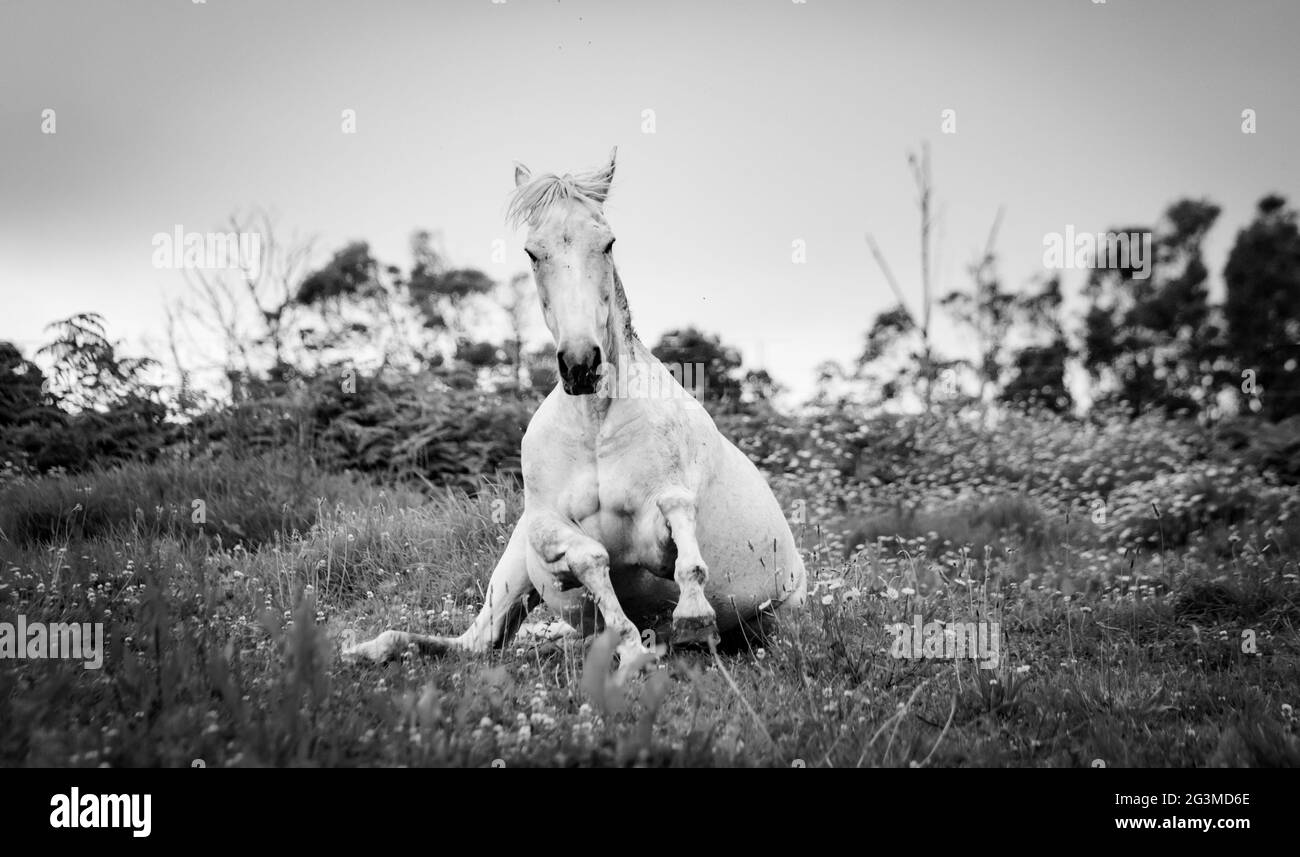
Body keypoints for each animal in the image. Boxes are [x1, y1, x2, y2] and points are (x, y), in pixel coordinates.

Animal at [343, 148, 807, 669]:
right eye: (532, 252)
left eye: (607, 243)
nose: (581, 363)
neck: (596, 423)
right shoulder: (544, 523)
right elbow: (590, 558)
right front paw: (630, 645)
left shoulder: (661, 521)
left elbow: (679, 528)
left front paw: (691, 613)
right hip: (510, 578)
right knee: (476, 643)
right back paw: (366, 648)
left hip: (778, 615)